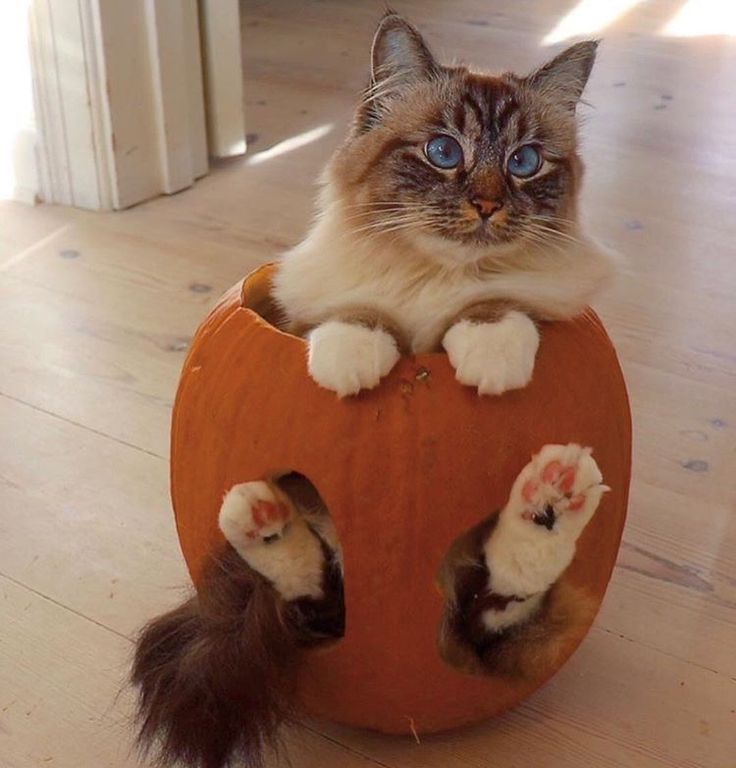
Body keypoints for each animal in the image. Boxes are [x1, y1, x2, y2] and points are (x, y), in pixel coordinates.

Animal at [131, 12, 608, 768]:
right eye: (443, 151)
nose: (485, 203)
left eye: (525, 162)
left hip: (481, 592)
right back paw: (261, 517)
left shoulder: (547, 302)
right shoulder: (314, 303)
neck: (433, 281)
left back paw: (552, 497)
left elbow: (499, 304)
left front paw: (489, 352)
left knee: (496, 604)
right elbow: (356, 313)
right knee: (321, 602)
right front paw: (354, 358)